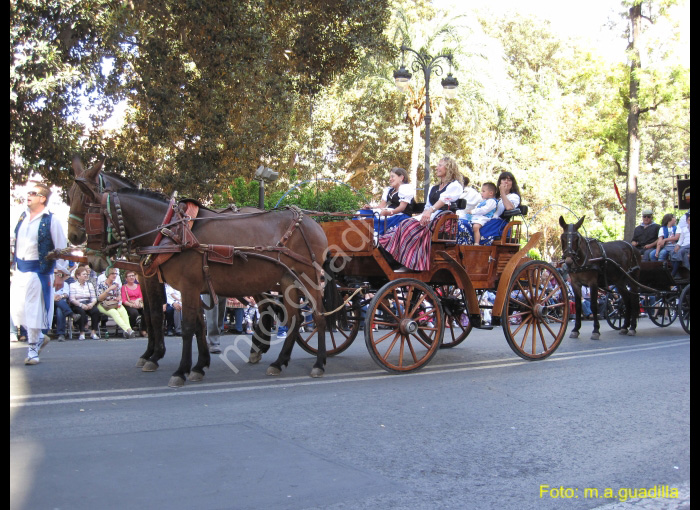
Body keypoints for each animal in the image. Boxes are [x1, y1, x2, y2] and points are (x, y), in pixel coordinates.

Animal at [76, 183, 340, 386]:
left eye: (92, 219)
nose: (93, 260)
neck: (173, 231)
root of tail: (313, 223)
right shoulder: (192, 289)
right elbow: (197, 326)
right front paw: (198, 366)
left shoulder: (187, 286)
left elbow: (187, 328)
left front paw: (180, 370)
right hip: (288, 280)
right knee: (295, 318)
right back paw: (279, 361)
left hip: (309, 277)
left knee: (318, 317)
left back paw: (319, 363)